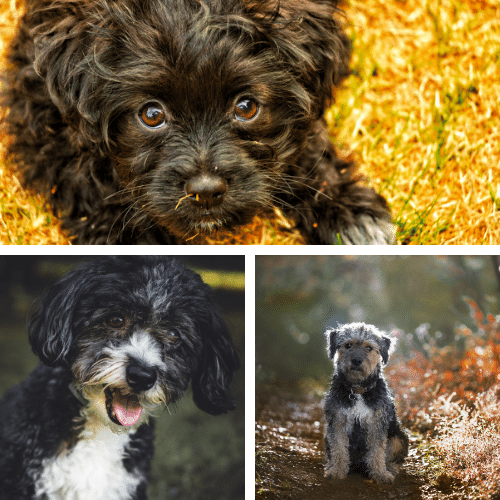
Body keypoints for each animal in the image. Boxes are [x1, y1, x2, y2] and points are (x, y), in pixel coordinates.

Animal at [1, 0, 396, 244]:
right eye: (151, 115)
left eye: (246, 107)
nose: (206, 192)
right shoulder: (41, 111)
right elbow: (88, 176)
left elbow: (306, 144)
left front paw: (348, 213)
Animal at [322, 324, 408, 484]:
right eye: (348, 345)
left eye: (369, 347)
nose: (356, 360)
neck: (358, 390)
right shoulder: (337, 421)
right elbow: (339, 448)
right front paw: (336, 470)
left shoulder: (377, 424)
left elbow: (377, 451)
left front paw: (380, 474)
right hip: (326, 436)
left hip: (399, 437)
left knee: (392, 458)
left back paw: (390, 469)